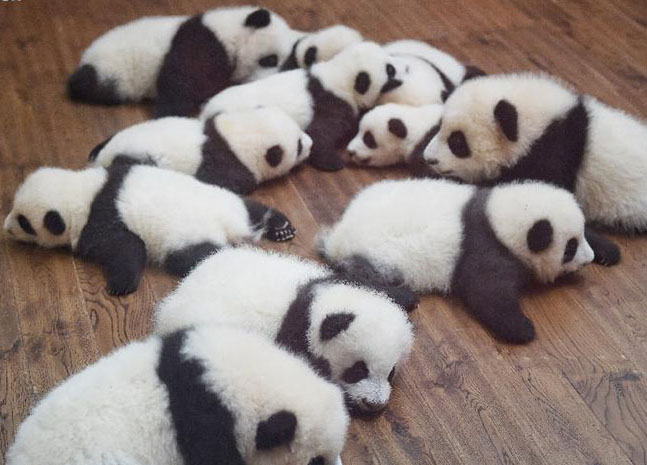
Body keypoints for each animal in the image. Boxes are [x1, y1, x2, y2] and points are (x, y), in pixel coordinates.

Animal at [4, 164, 296, 296]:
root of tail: (229, 223)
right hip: (225, 198)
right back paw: (280, 226)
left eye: (23, 221)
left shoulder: (101, 220)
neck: (84, 192)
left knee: (195, 256)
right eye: (15, 209)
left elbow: (127, 247)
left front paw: (120, 285)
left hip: (186, 238)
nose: (5, 228)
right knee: (251, 207)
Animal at [67, 7, 300, 117]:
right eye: (270, 60)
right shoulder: (203, 42)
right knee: (88, 84)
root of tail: (86, 57)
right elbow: (179, 81)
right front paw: (168, 113)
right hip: (112, 70)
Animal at [88, 107, 313, 195]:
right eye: (299, 145)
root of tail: (104, 157)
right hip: (138, 158)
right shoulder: (227, 165)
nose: (310, 143)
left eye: (300, 131)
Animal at [200, 42, 406, 171]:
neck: (339, 75)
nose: (405, 67)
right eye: (390, 70)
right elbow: (320, 133)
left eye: (389, 58)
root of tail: (204, 114)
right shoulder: (330, 102)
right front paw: (333, 163)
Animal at [318, 178, 597, 344]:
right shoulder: (483, 246)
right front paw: (523, 329)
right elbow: (486, 292)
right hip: (375, 256)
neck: (498, 217)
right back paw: (404, 296)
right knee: (357, 276)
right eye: (570, 248)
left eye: (581, 236)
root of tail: (337, 237)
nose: (589, 259)